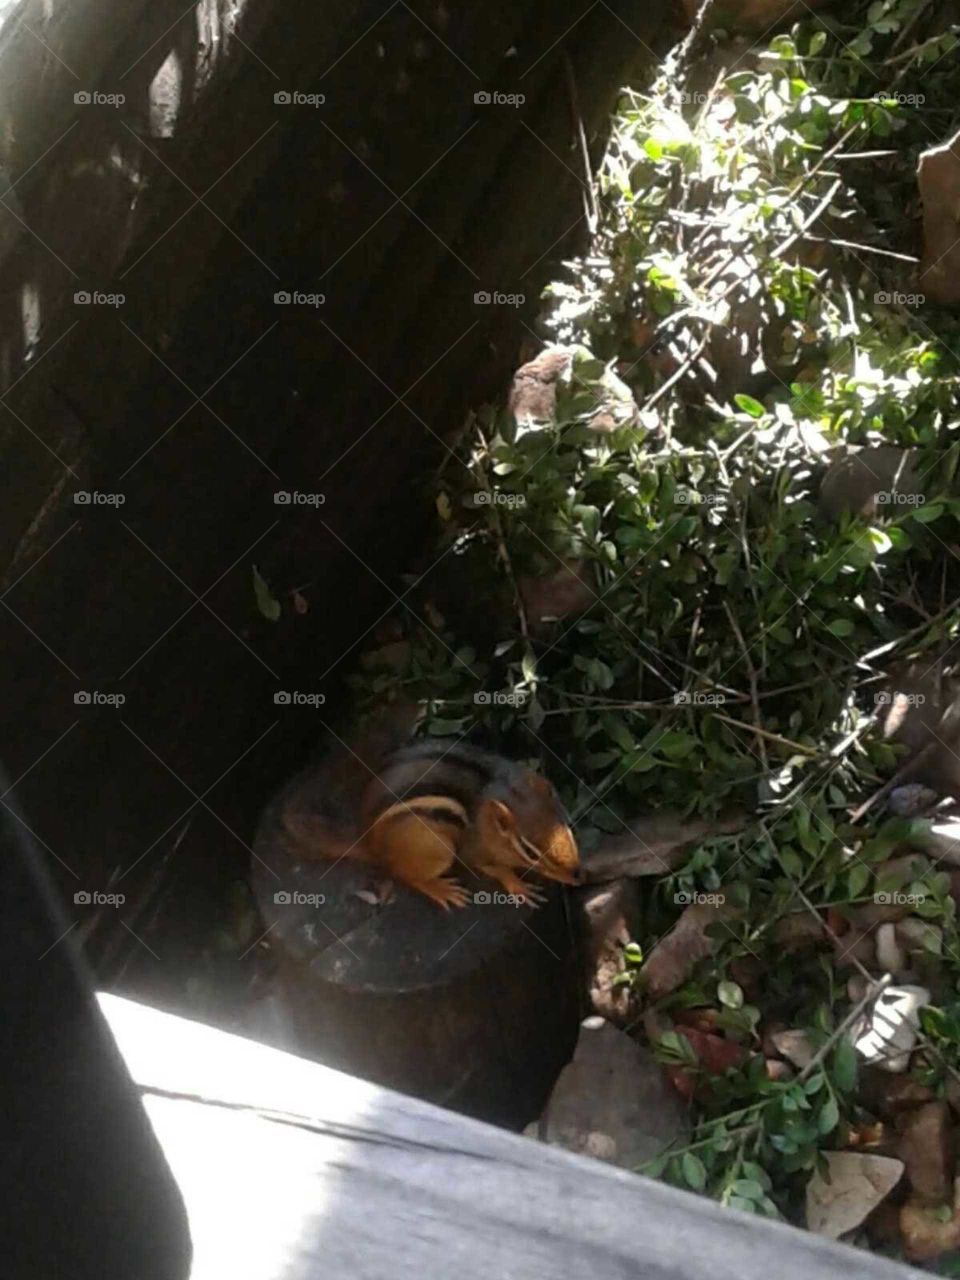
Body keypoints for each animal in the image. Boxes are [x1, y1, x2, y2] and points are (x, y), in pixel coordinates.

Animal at [281, 736, 581, 910]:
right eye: (530, 851)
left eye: (566, 822)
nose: (577, 875)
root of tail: (369, 840)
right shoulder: (473, 849)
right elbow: (493, 868)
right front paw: (518, 885)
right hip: (435, 848)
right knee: (403, 874)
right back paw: (440, 889)